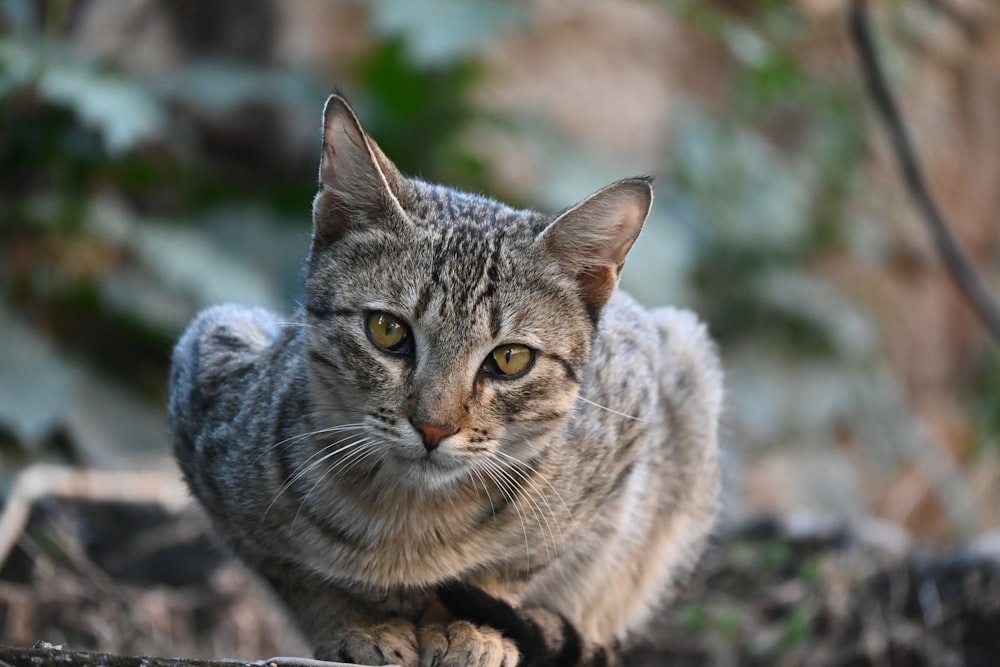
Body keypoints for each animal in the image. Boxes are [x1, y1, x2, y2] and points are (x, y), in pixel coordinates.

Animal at [168, 95, 724, 667]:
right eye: (387, 330)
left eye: (509, 359)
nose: (433, 428)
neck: (407, 522)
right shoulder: (209, 372)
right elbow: (297, 576)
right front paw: (360, 625)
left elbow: (512, 566)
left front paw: (468, 627)